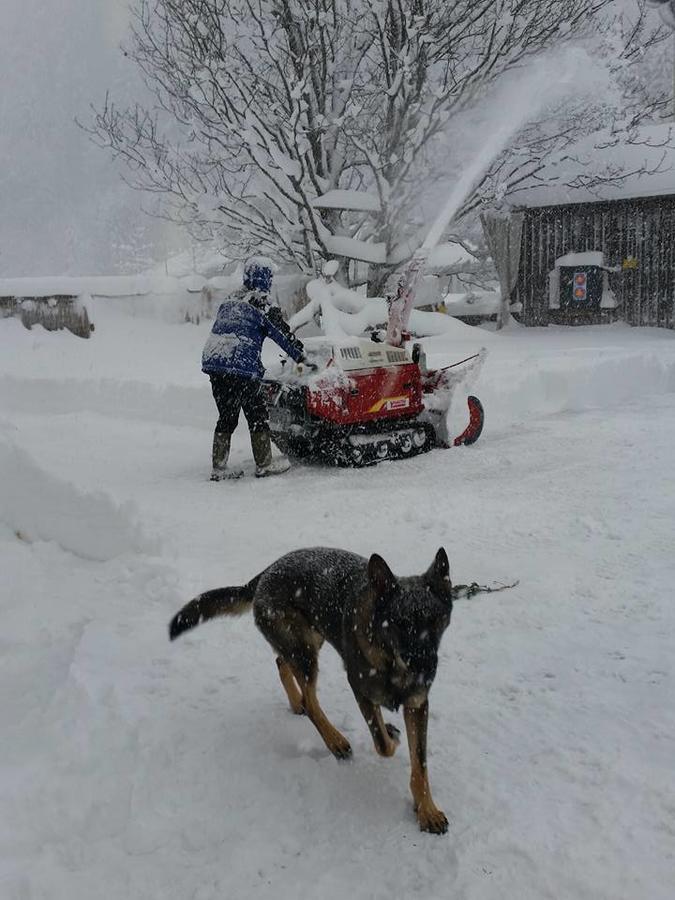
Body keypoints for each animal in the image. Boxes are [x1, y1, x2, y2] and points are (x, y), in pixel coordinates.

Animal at [169, 544, 454, 832]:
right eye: (400, 622)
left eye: (435, 620)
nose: (425, 668)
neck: (389, 656)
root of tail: (265, 574)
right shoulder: (360, 689)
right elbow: (383, 745)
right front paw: (390, 735)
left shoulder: (417, 705)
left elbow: (420, 764)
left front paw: (426, 809)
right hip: (305, 650)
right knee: (311, 701)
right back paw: (334, 739)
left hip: (310, 639)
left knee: (282, 663)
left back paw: (296, 701)